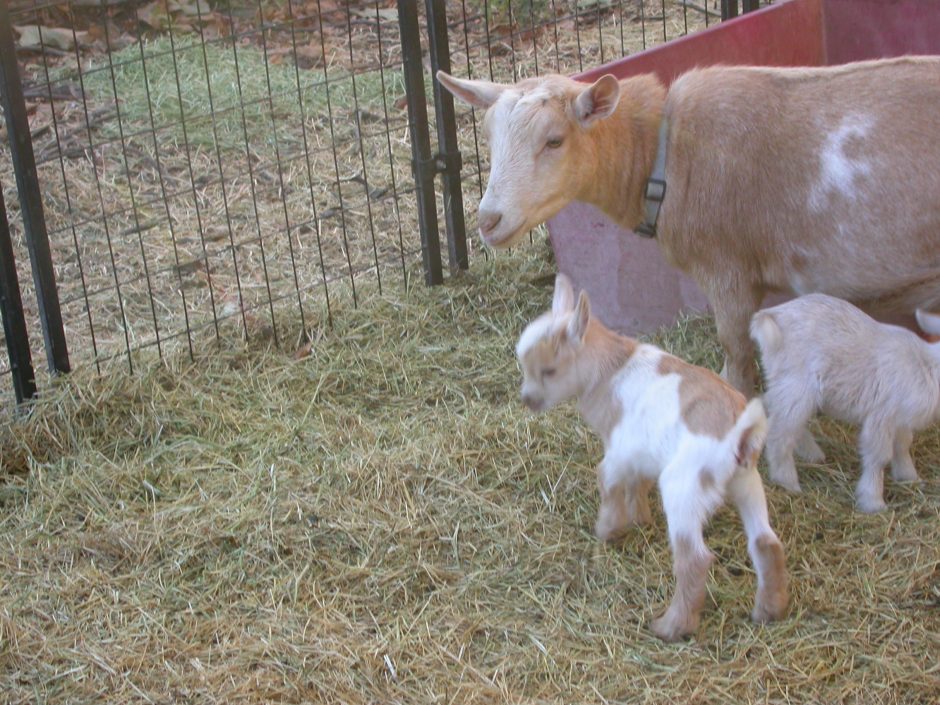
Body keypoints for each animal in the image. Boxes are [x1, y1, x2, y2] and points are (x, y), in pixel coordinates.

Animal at [438, 57, 940, 394]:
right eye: (489, 138)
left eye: (555, 140)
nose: (488, 220)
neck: (663, 155)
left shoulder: (728, 269)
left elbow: (735, 349)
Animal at [517, 274, 788, 641]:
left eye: (549, 371)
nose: (527, 400)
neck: (611, 368)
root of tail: (740, 433)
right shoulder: (642, 452)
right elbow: (638, 483)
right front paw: (639, 518)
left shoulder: (618, 449)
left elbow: (607, 480)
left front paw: (609, 529)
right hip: (747, 483)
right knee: (766, 543)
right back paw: (769, 611)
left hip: (682, 488)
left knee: (694, 560)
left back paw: (671, 626)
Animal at [751, 293, 940, 513]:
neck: (927, 366)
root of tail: (772, 316)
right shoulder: (882, 415)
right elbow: (879, 457)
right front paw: (873, 501)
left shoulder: (901, 418)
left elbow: (902, 445)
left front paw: (909, 477)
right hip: (797, 385)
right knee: (780, 432)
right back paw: (788, 482)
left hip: (783, 382)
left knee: (769, 406)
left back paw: (812, 454)